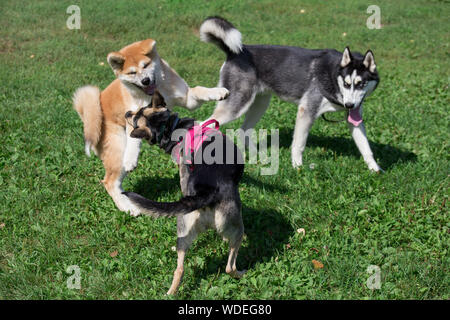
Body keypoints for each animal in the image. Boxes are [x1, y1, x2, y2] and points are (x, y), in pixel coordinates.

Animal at [74, 39, 230, 215]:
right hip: (117, 149)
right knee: (109, 182)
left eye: (146, 65)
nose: (145, 81)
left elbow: (199, 90)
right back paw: (127, 206)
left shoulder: (188, 99)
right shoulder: (133, 115)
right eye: (132, 73)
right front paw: (131, 160)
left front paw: (218, 92)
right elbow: (133, 138)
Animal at [123, 92, 246, 296]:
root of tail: (205, 194)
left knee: (179, 268)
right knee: (230, 266)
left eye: (139, 112)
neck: (169, 129)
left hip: (184, 227)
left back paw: (171, 292)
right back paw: (240, 272)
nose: (126, 113)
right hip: (236, 229)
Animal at [200, 16, 380, 172]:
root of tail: (237, 52)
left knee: (243, 131)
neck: (333, 74)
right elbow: (298, 144)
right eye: (346, 83)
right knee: (204, 124)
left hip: (259, 105)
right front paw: (297, 167)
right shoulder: (306, 112)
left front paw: (375, 169)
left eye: (361, 84)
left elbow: (365, 147)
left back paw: (258, 156)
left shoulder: (355, 118)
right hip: (236, 106)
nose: (349, 105)